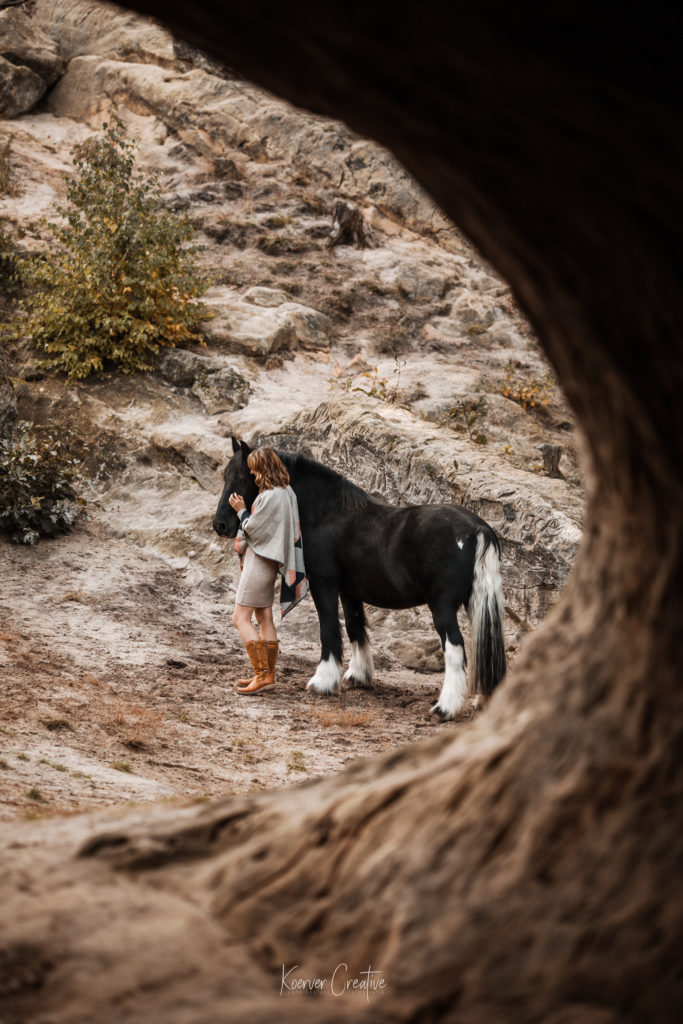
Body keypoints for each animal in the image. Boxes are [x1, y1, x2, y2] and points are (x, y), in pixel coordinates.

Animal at [214, 438, 507, 720]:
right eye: (225, 476)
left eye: (241, 478)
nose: (220, 525)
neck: (327, 512)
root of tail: (476, 529)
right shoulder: (350, 592)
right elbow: (355, 628)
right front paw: (358, 676)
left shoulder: (325, 585)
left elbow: (329, 629)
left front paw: (322, 681)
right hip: (475, 602)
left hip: (442, 607)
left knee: (455, 649)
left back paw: (445, 708)